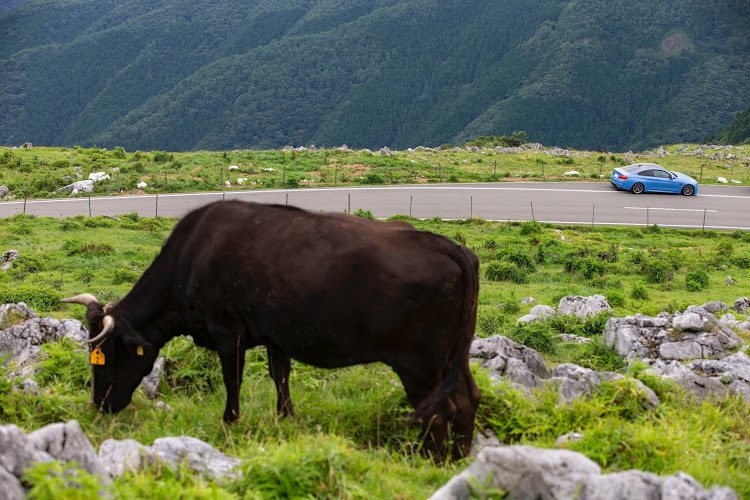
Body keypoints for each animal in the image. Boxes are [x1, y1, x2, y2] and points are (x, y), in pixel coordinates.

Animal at [64, 201, 482, 458]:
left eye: (104, 355)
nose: (98, 405)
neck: (190, 257)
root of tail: (448, 245)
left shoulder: (226, 330)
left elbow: (233, 379)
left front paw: (230, 422)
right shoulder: (275, 335)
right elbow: (280, 376)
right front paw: (286, 419)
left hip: (420, 365)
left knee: (439, 411)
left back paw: (427, 460)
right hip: (452, 358)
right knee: (467, 399)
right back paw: (456, 460)